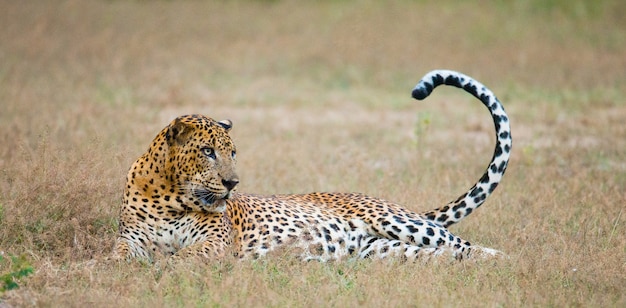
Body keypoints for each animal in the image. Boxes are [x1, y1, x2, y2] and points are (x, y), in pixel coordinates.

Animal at [113, 70, 512, 262]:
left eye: (233, 152)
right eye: (208, 151)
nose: (232, 184)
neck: (170, 198)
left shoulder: (215, 241)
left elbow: (187, 255)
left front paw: (166, 267)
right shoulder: (130, 238)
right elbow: (117, 256)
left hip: (397, 222)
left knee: (468, 245)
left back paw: (509, 261)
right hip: (384, 250)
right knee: (448, 253)